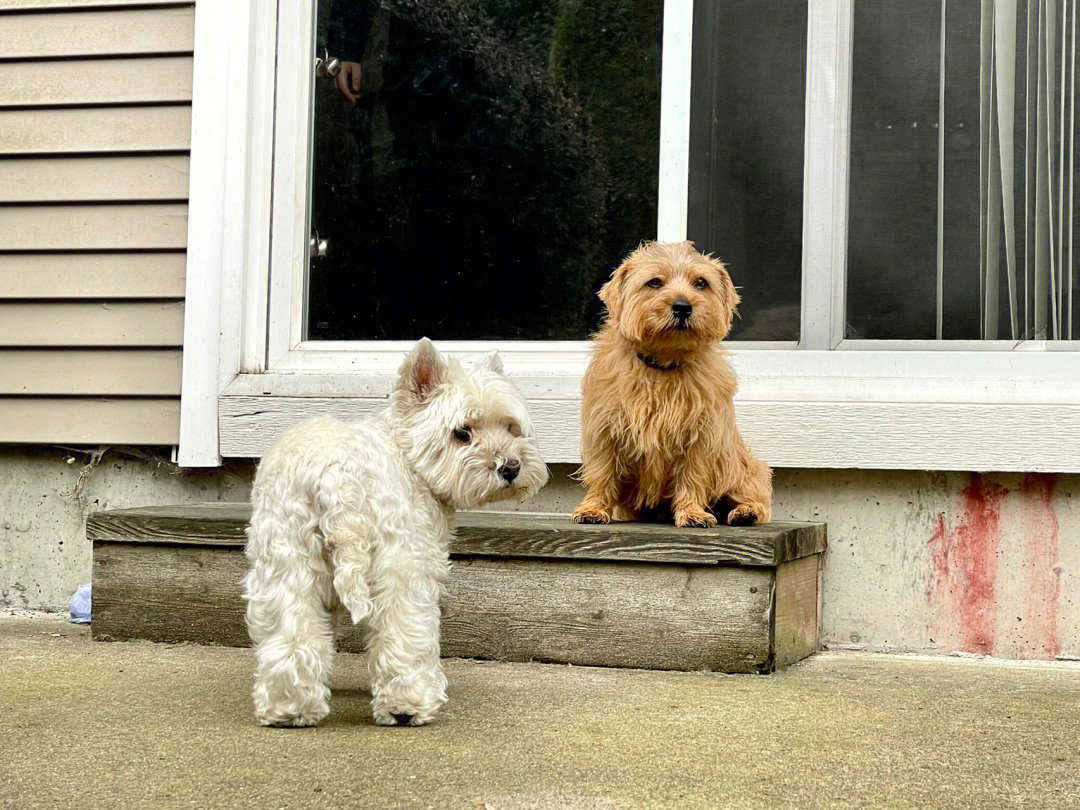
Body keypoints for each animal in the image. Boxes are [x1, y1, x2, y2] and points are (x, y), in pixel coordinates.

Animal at [244, 339, 548, 734]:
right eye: (462, 433)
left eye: (510, 428)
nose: (511, 467)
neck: (407, 453)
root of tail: (337, 473)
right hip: (396, 568)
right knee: (402, 635)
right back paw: (408, 707)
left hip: (287, 562)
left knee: (292, 636)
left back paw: (289, 709)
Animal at [574, 239, 768, 533]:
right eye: (654, 282)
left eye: (701, 283)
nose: (682, 306)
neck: (663, 364)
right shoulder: (605, 431)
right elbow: (602, 473)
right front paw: (593, 508)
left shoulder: (701, 436)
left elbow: (692, 475)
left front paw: (692, 512)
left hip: (742, 466)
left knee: (753, 497)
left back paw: (745, 512)